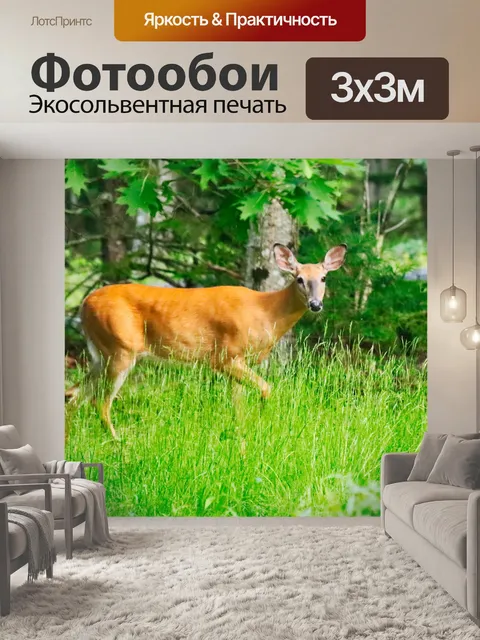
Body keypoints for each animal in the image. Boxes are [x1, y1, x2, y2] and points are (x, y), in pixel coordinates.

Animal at [67, 243, 347, 439]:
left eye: (323, 278)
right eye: (299, 279)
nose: (316, 304)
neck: (267, 313)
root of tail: (84, 303)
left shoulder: (236, 364)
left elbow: (238, 407)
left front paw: (242, 437)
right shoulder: (226, 356)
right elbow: (267, 389)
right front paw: (261, 421)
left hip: (101, 354)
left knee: (74, 395)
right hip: (120, 348)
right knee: (98, 402)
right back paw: (119, 443)